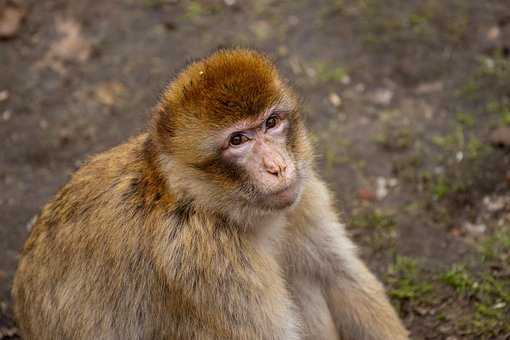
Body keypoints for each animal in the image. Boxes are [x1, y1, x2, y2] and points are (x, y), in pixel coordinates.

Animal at [11, 48, 408, 340]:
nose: (277, 167)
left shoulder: (302, 199)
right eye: (238, 140)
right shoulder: (206, 260)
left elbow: (342, 277)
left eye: (271, 123)